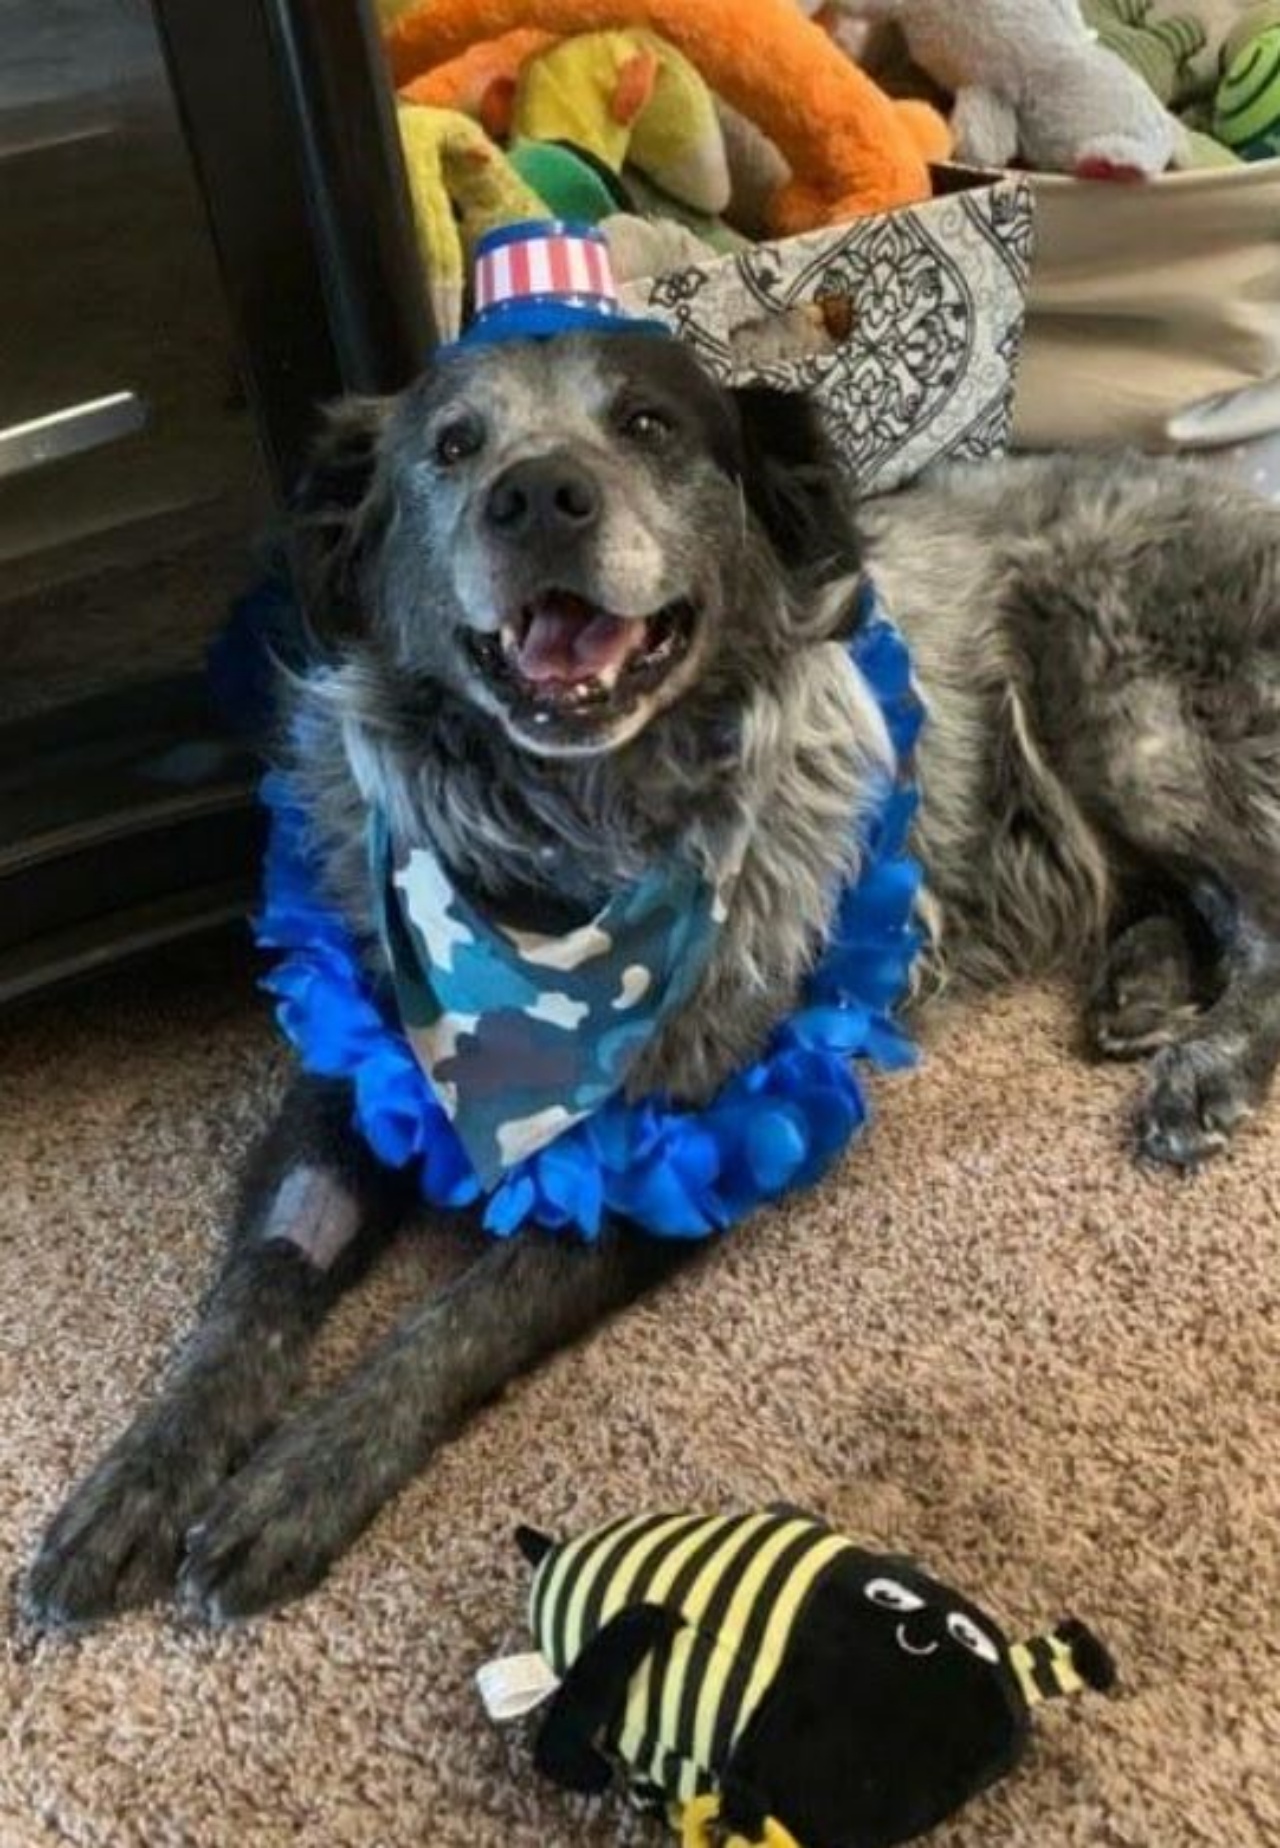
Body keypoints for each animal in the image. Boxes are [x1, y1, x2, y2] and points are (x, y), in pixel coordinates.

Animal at [24, 336, 1278, 1633]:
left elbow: (453, 1323)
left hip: (1118, 711)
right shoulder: (351, 1065)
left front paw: (298, 1482)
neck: (554, 850)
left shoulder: (686, 1142)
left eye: (647, 425)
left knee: (1257, 899)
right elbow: (255, 1288)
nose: (536, 498)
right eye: (451, 446)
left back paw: (1203, 1067)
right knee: (1162, 891)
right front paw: (140, 1476)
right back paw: (1138, 985)